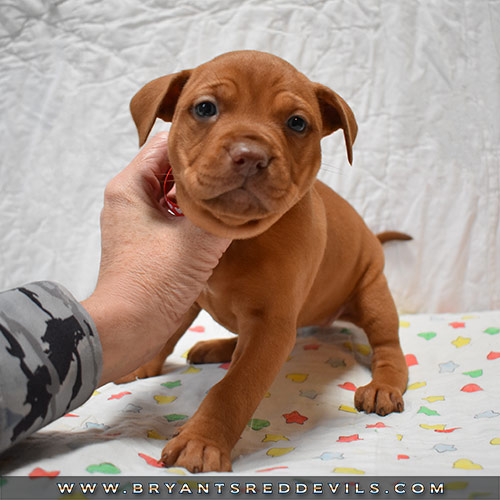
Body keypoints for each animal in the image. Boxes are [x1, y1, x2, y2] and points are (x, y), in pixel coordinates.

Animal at [119, 49, 408, 472]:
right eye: (205, 108)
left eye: (297, 122)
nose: (251, 155)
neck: (235, 238)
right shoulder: (187, 292)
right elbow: (166, 334)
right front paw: (142, 363)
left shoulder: (271, 326)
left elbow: (234, 387)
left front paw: (202, 442)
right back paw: (218, 347)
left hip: (373, 294)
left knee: (389, 346)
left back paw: (383, 386)